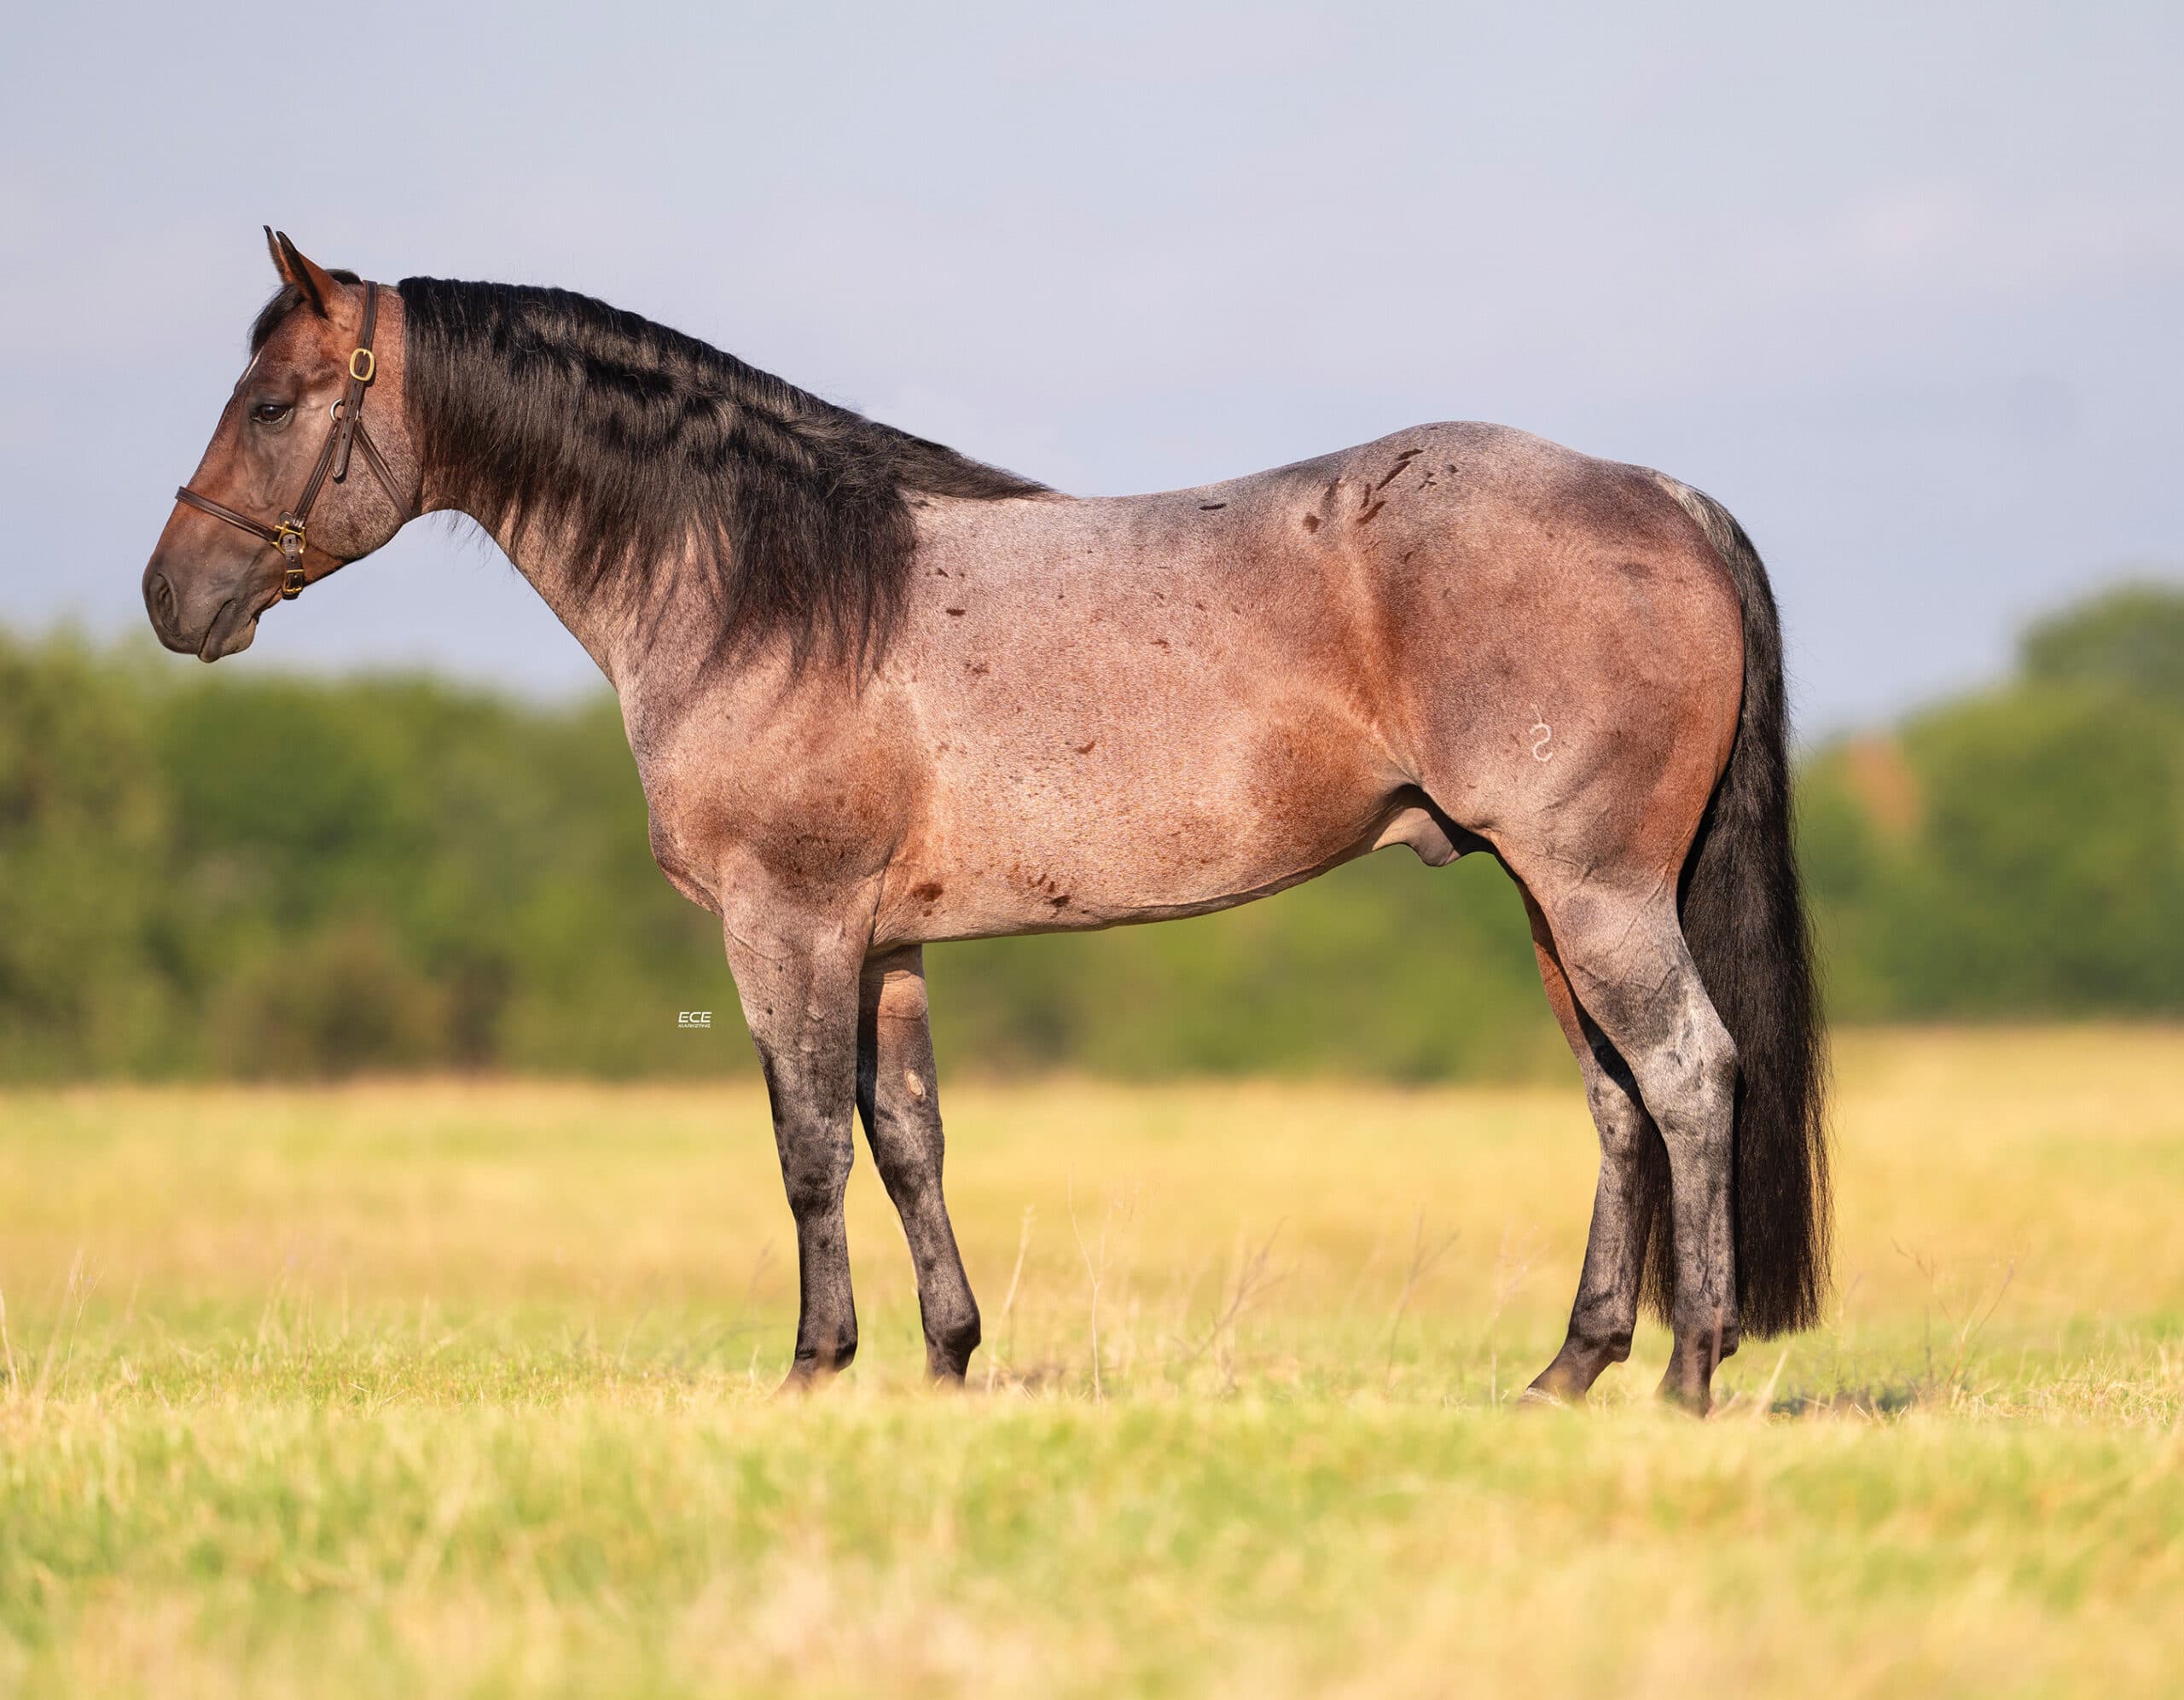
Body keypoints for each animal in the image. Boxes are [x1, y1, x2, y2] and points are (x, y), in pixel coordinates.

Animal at [143, 230, 1828, 1414]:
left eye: (276, 402)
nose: (171, 600)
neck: (769, 587)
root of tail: (1659, 494)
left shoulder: (789, 925)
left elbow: (808, 1145)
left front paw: (816, 1365)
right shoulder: (885, 945)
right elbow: (909, 1140)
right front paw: (948, 1359)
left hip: (1596, 893)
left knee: (1688, 1075)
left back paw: (1690, 1372)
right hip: (1553, 901)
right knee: (1616, 1105)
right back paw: (1570, 1368)